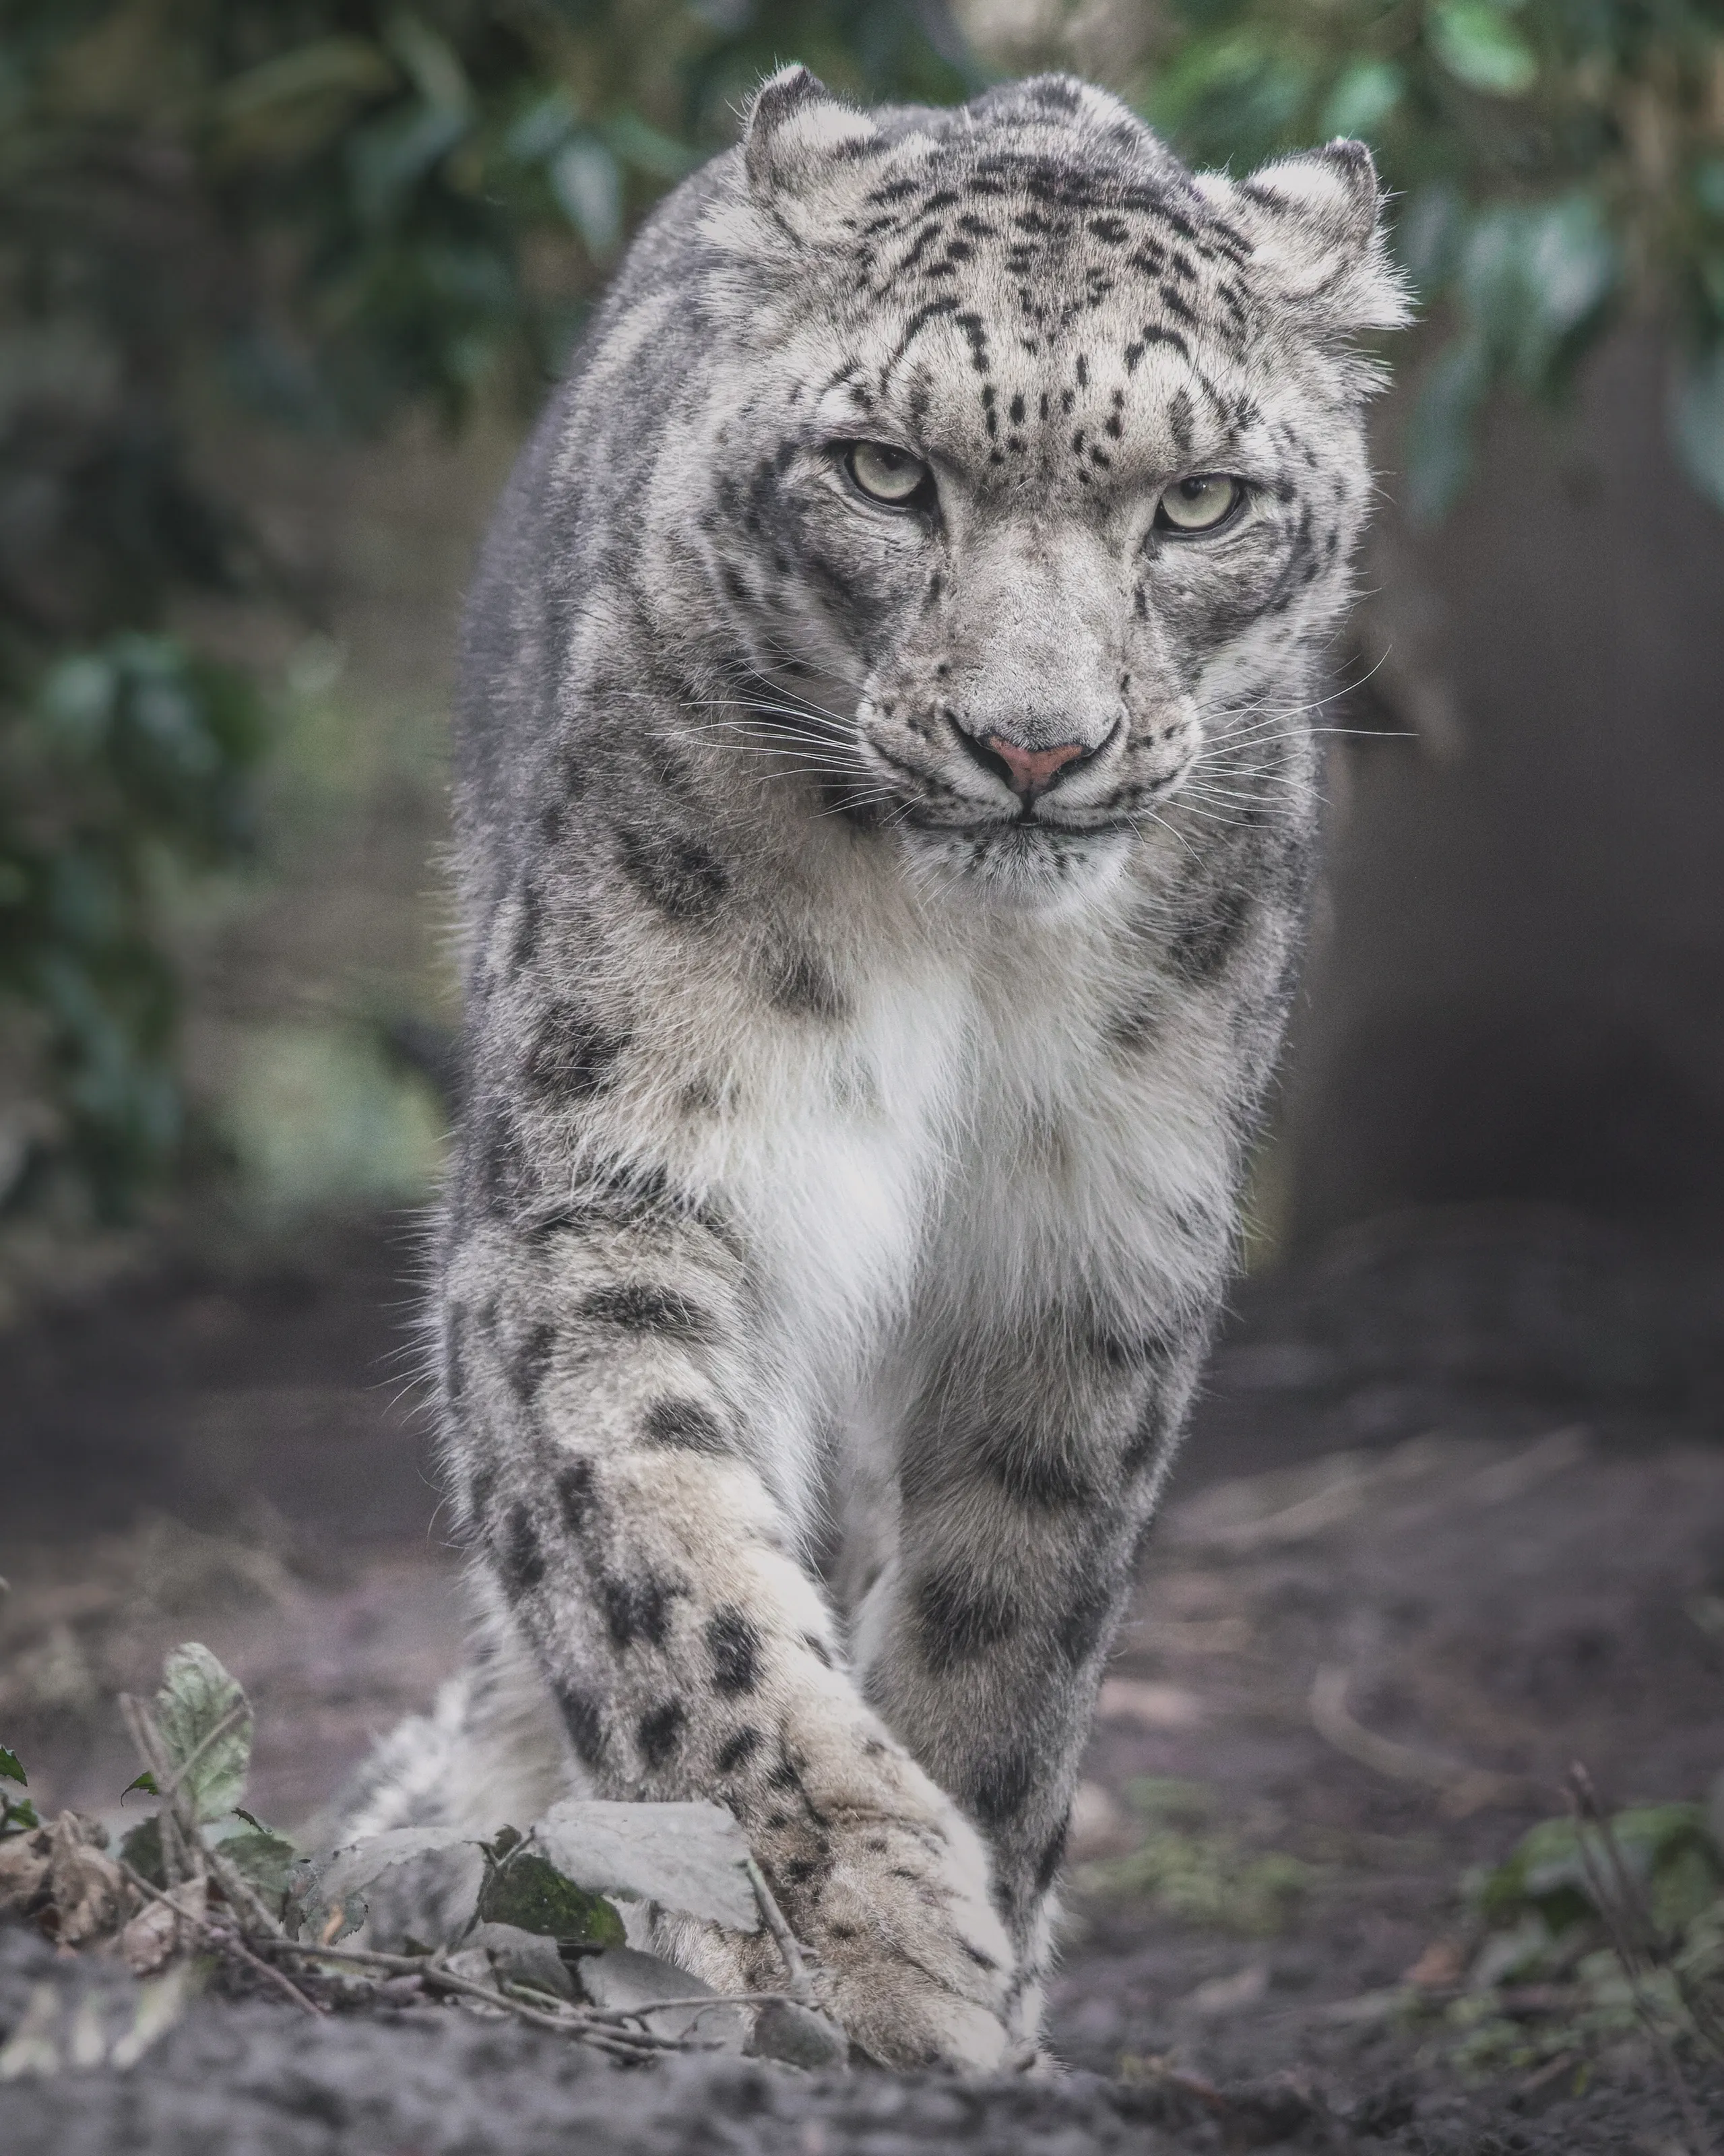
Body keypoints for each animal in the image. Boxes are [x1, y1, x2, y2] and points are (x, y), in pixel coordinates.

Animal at [344, 65, 1407, 2072]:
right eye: (886, 471)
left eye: (1200, 501)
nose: (1031, 746)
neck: (971, 968)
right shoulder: (622, 1182)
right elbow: (666, 1558)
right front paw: (854, 1935)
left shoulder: (1095, 1244)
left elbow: (1016, 1619)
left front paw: (977, 1951)